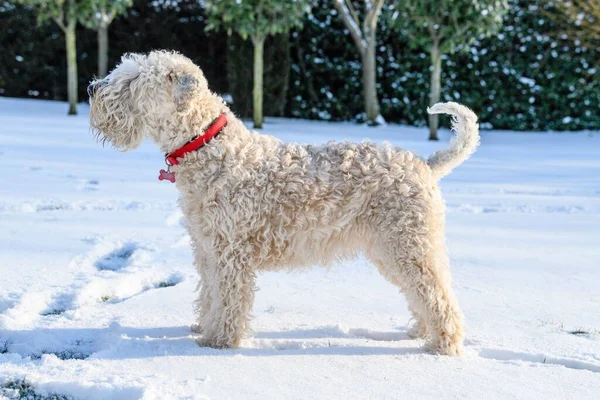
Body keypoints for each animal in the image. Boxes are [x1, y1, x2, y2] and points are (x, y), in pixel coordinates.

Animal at [89, 50, 480, 356]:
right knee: (421, 292)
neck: (208, 148)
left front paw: (219, 342)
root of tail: (425, 164)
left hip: (409, 245)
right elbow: (210, 294)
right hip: (391, 249)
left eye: (133, 79)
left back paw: (442, 344)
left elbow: (229, 299)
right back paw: (420, 332)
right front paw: (204, 329)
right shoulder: (206, 247)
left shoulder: (230, 251)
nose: (93, 88)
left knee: (438, 294)